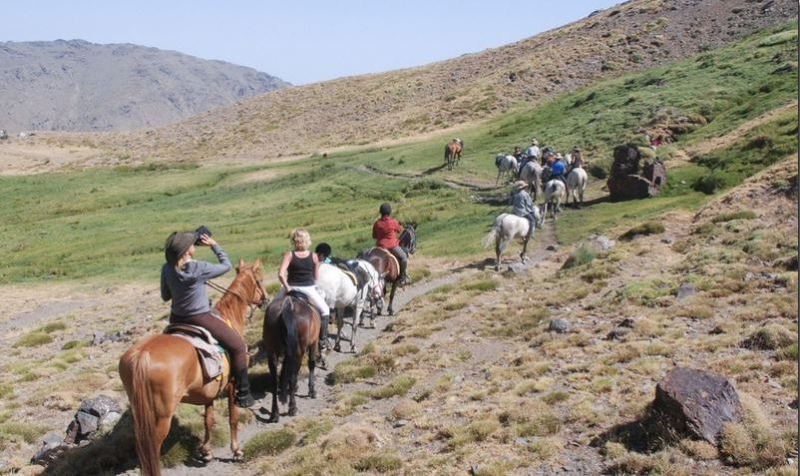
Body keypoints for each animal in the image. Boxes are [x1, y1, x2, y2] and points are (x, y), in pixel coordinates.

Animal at [117, 260, 266, 476]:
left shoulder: (209, 391)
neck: (229, 317)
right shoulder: (231, 384)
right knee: (152, 446)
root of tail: (142, 355)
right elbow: (233, 417)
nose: (265, 300)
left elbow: (208, 420)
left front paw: (207, 451)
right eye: (260, 280)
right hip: (161, 416)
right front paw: (236, 451)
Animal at [264, 290, 324, 424]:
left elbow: (285, 370)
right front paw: (312, 391)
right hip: (299, 351)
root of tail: (287, 305)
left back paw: (275, 413)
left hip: (272, 351)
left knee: (274, 381)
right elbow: (311, 364)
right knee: (293, 376)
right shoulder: (313, 343)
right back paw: (292, 407)